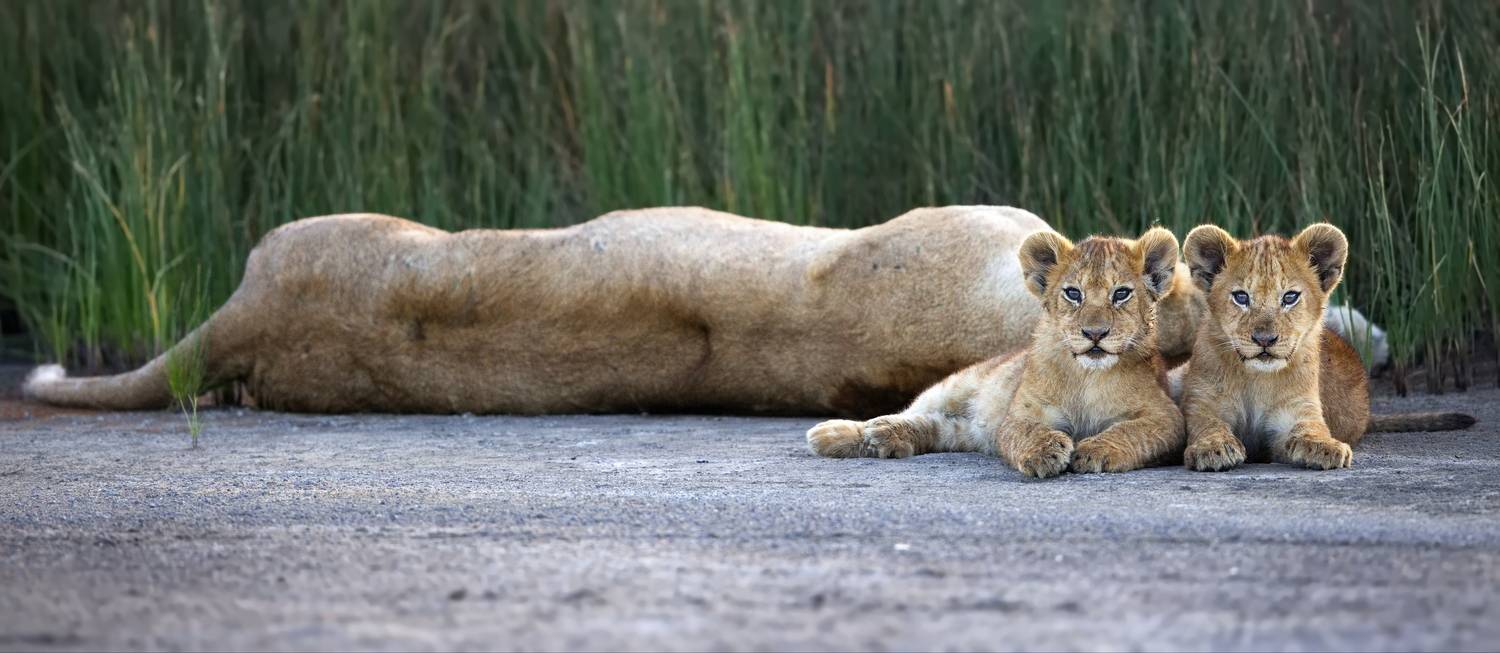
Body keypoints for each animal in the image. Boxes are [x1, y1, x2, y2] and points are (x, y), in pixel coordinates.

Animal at [806, 228, 1186, 478]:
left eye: (1121, 294)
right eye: (1073, 294)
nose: (1094, 333)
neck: (1086, 376)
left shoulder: (1167, 417)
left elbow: (1133, 431)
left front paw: (1095, 449)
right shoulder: (1019, 414)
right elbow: (1026, 432)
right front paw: (1044, 454)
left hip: (961, 433)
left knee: (931, 427)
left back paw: (878, 438)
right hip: (955, 387)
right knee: (911, 411)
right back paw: (840, 433)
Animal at [1177, 223, 1475, 472]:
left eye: (1290, 297)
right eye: (1241, 297)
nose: (1265, 340)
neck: (1256, 378)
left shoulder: (1299, 409)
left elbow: (1310, 430)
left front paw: (1326, 447)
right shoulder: (1204, 405)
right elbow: (1208, 425)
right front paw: (1213, 448)